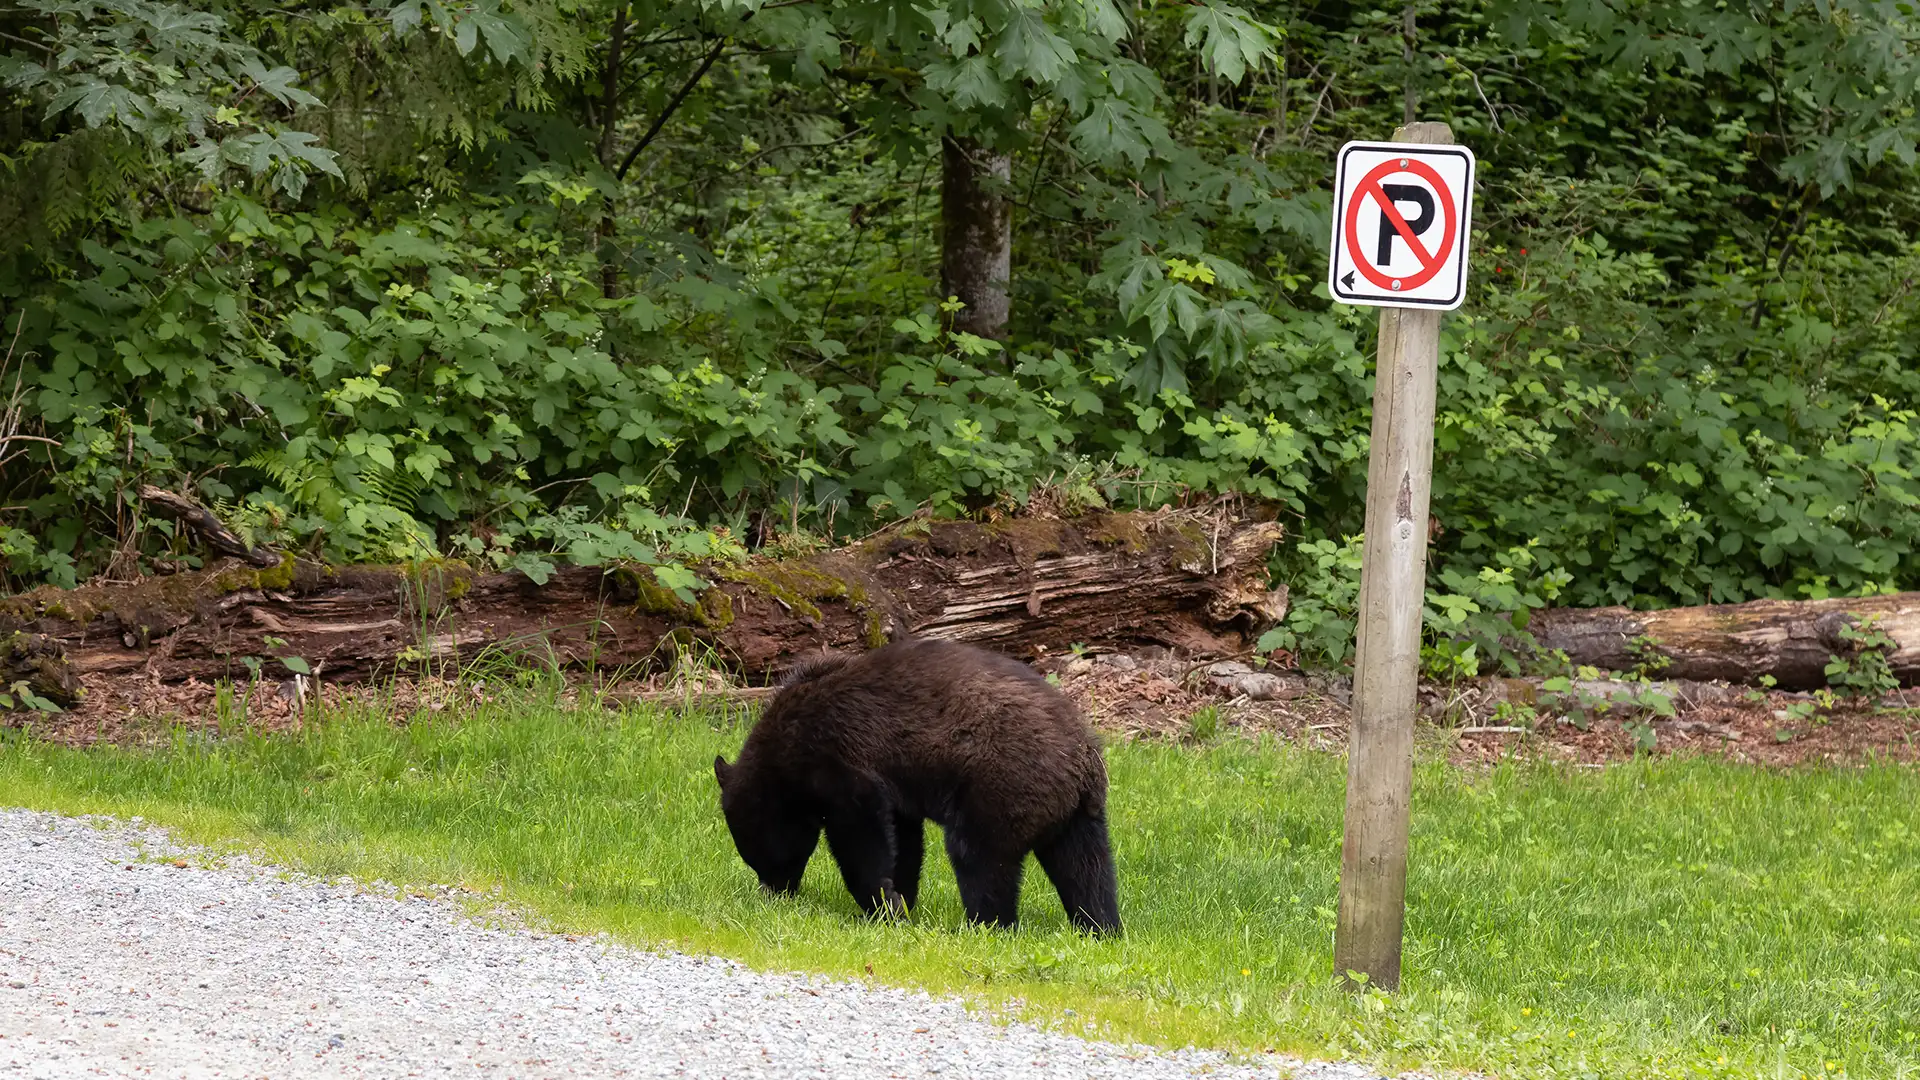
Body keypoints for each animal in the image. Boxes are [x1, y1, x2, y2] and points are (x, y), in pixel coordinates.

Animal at [714, 634, 1121, 930]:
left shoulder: (839, 760)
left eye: (760, 854)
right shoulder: (896, 792)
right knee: (1087, 870)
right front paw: (900, 899)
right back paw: (1100, 927)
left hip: (1002, 786)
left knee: (982, 859)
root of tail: (1084, 758)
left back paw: (984, 924)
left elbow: (861, 834)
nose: (775, 892)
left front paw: (883, 905)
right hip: (1076, 815)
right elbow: (904, 841)